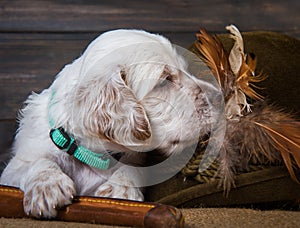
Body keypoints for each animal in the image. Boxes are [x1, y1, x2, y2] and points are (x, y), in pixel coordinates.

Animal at [0, 29, 216, 218]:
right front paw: (47, 186)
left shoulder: (136, 157)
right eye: (164, 81)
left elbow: (132, 167)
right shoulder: (12, 171)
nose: (219, 96)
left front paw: (121, 190)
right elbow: (35, 161)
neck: (92, 154)